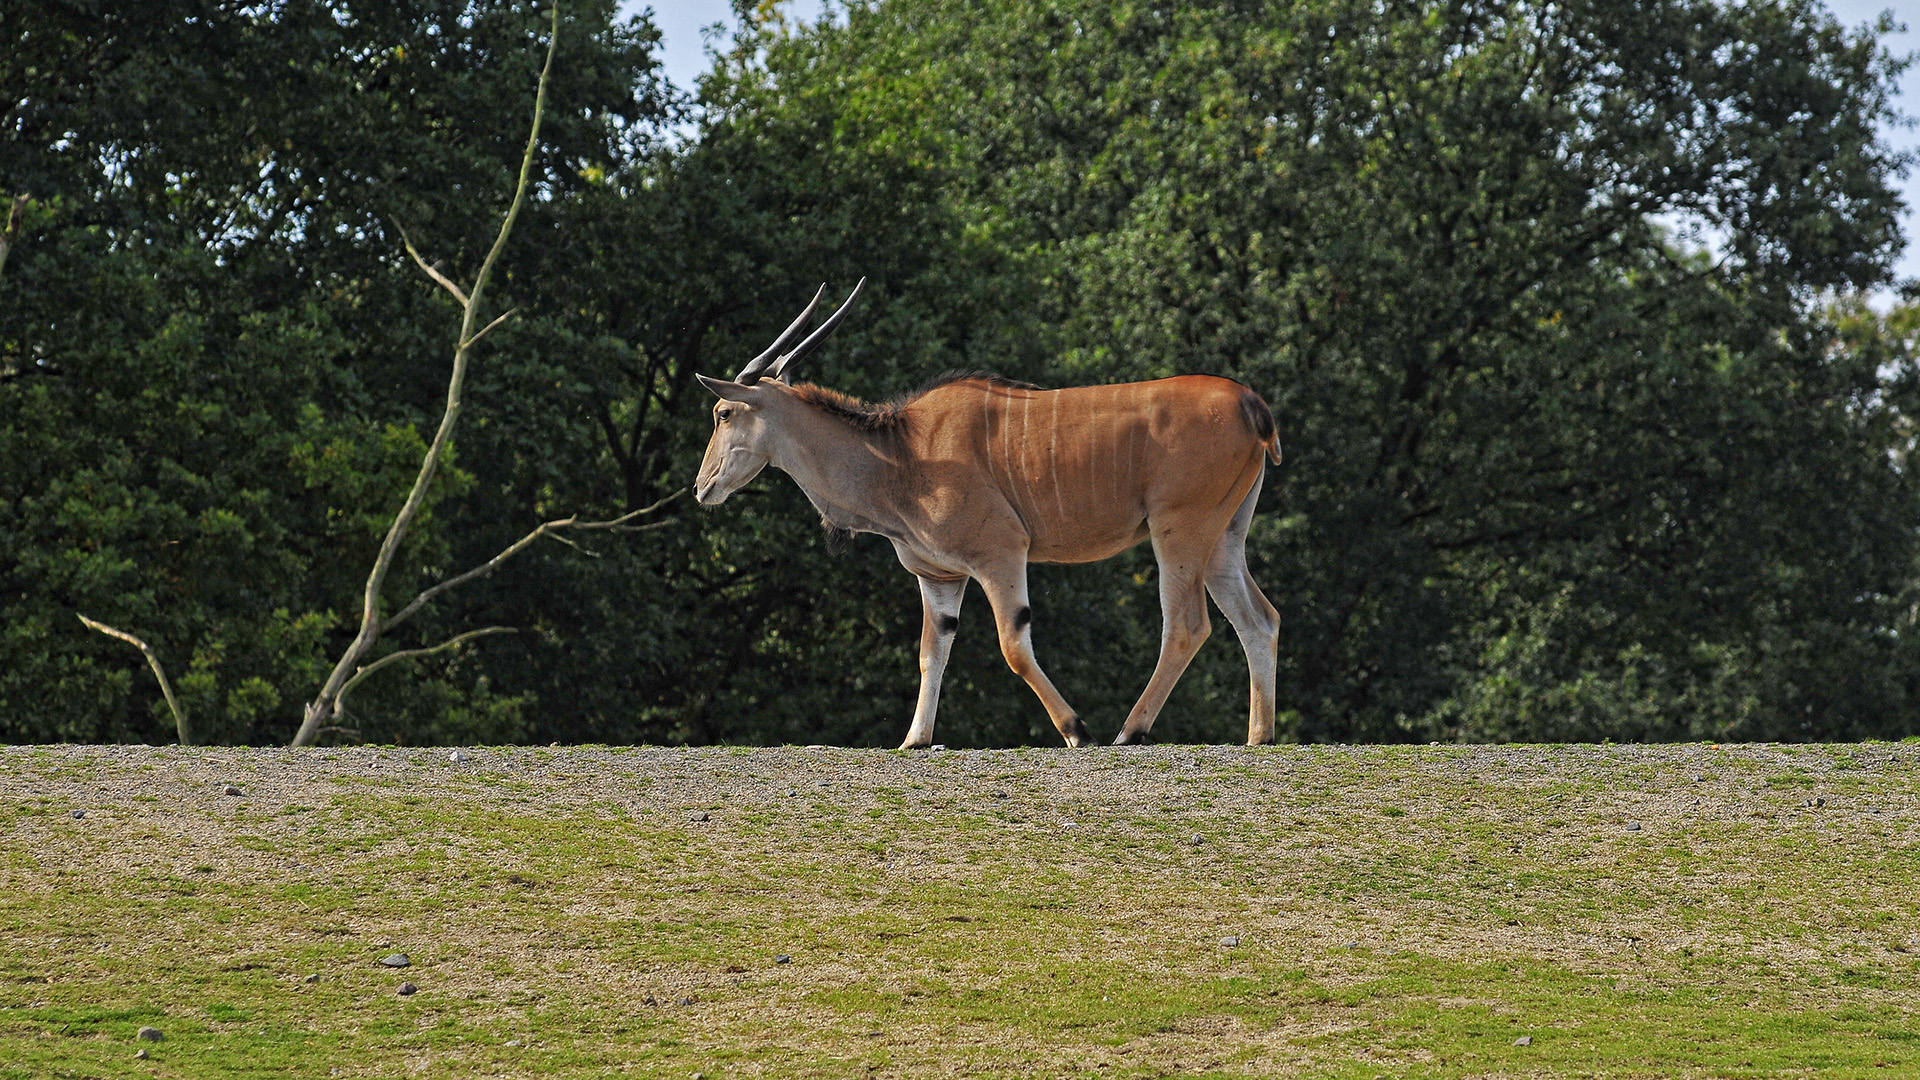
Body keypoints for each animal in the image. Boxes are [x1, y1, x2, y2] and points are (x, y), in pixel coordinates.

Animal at [698, 282, 1282, 745]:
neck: (904, 453)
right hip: (1223, 538)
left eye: (723, 412)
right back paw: (1259, 736)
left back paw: (1129, 732)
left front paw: (1077, 731)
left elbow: (1013, 645)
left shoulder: (1000, 554)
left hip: (1179, 531)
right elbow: (932, 651)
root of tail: (1250, 403)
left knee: (1186, 624)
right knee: (1260, 618)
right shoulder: (940, 576)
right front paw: (914, 739)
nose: (703, 487)